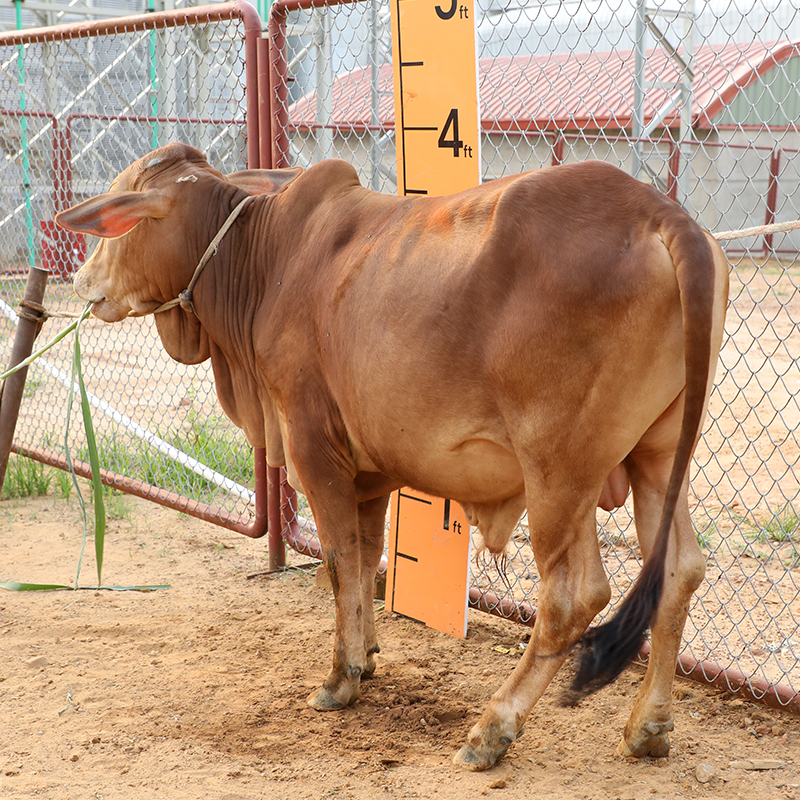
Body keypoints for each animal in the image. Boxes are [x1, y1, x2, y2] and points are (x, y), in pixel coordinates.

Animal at [56, 142, 729, 771]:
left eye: (119, 220)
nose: (80, 282)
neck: (264, 260)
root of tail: (661, 213)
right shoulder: (370, 473)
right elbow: (365, 558)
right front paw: (370, 655)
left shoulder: (313, 447)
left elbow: (337, 561)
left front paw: (340, 678)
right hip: (657, 457)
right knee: (680, 572)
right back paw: (648, 726)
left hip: (559, 472)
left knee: (574, 595)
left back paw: (492, 729)